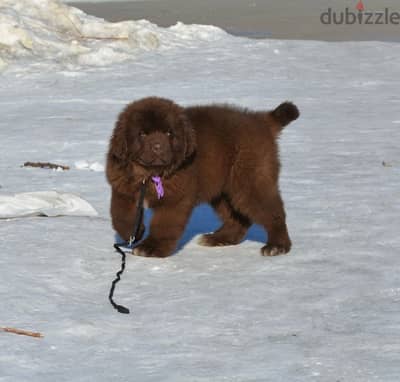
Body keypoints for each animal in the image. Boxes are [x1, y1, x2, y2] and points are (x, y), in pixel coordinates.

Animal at [107, 97, 300, 258]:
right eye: (142, 134)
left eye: (169, 133)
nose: (157, 146)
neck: (149, 174)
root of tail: (260, 120)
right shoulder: (121, 190)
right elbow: (120, 216)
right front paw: (135, 233)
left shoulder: (175, 200)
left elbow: (164, 224)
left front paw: (152, 248)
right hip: (222, 188)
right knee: (238, 219)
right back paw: (219, 238)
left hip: (250, 179)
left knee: (273, 212)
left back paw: (277, 246)